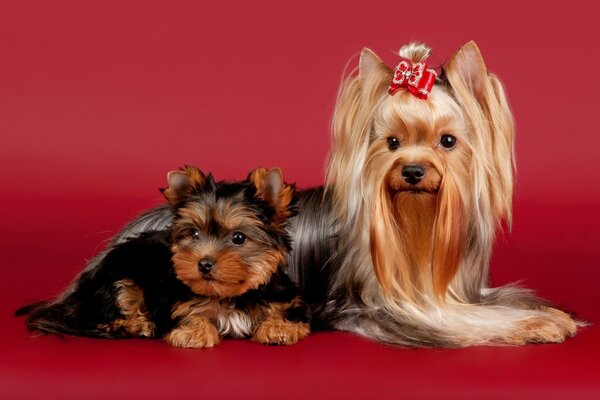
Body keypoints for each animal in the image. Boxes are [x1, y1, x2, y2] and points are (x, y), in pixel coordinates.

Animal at [18, 166, 310, 346]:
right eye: (194, 233)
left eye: (239, 238)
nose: (204, 264)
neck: (229, 296)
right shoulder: (176, 303)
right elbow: (191, 316)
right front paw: (193, 333)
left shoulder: (287, 299)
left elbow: (285, 314)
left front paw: (279, 328)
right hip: (120, 280)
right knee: (102, 315)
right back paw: (138, 325)